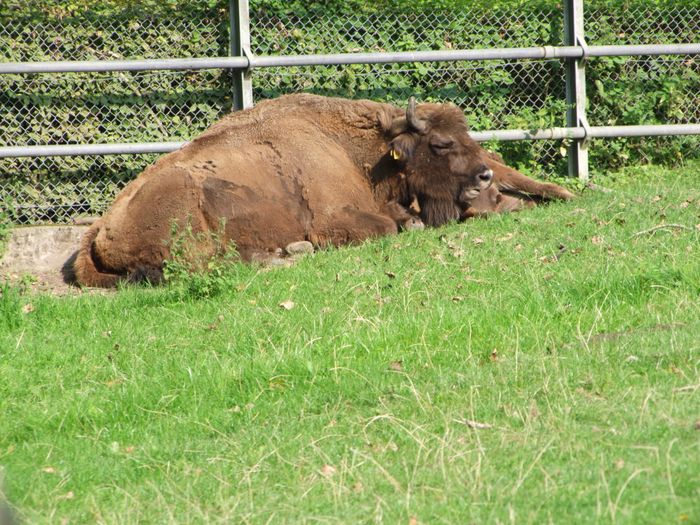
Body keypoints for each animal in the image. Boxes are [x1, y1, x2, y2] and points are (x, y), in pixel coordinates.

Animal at [72, 94, 576, 286]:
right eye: (440, 143)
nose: (485, 177)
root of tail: (96, 231)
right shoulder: (335, 220)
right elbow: (387, 229)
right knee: (204, 265)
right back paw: (288, 253)